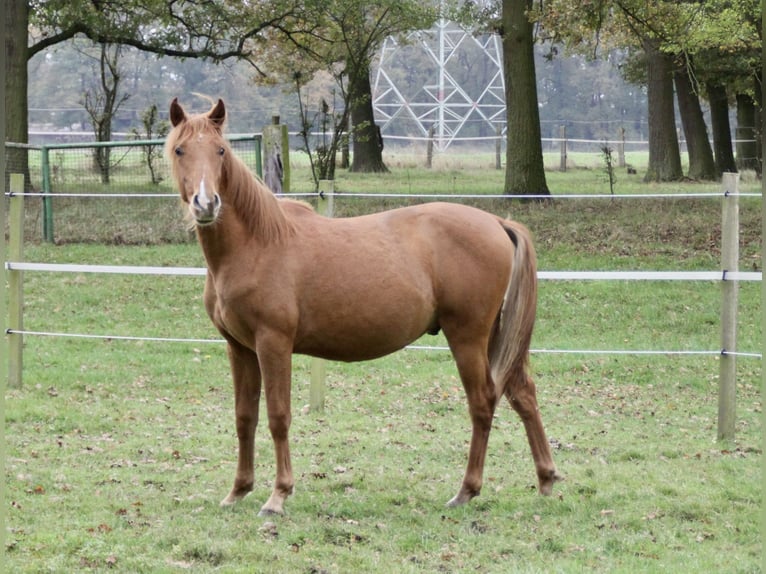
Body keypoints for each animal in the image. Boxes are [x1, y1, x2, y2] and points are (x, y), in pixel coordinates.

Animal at [168, 98, 560, 516]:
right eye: (180, 150)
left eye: (220, 151)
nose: (206, 204)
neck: (258, 242)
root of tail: (497, 222)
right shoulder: (239, 348)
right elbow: (245, 417)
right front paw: (238, 490)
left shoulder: (273, 344)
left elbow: (277, 416)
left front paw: (278, 495)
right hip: (494, 336)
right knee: (522, 393)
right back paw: (545, 478)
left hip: (468, 337)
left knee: (483, 401)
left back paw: (466, 490)